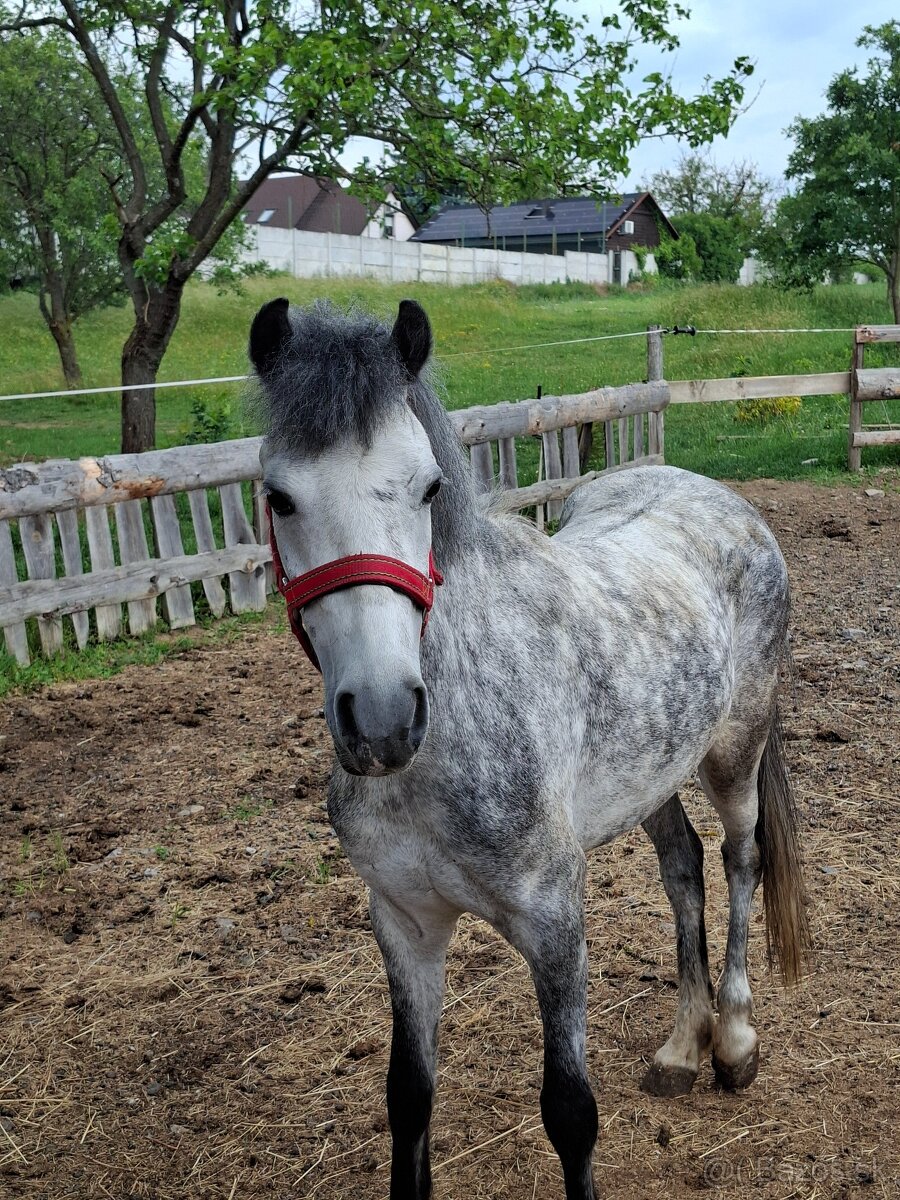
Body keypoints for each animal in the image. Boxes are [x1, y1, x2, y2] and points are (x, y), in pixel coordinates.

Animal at [249, 296, 810, 1200]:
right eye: (280, 496)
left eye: (430, 487)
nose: (382, 719)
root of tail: (721, 499)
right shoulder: (404, 923)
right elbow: (409, 1096)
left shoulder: (553, 921)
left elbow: (570, 1112)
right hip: (652, 775)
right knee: (682, 866)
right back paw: (681, 1048)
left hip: (735, 754)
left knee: (739, 859)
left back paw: (734, 1040)